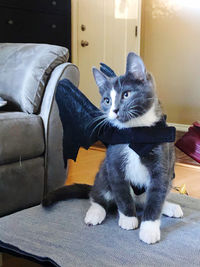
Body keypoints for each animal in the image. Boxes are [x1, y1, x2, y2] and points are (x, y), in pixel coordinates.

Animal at [84, 52, 183, 245]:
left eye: (126, 94)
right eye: (107, 100)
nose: (114, 110)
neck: (136, 132)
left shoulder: (163, 162)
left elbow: (157, 195)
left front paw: (149, 228)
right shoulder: (114, 160)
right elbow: (121, 191)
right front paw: (128, 219)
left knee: (155, 197)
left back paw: (169, 207)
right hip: (103, 172)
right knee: (98, 194)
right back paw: (95, 212)